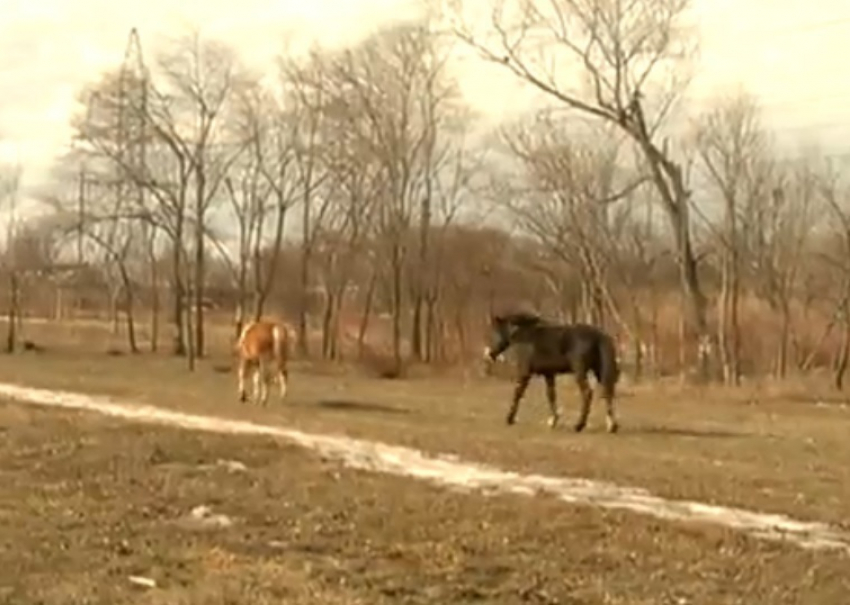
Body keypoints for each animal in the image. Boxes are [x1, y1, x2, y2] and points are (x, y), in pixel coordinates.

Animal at [484, 312, 616, 434]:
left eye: (494, 332)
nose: (490, 355)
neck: (526, 336)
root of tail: (599, 335)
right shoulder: (549, 374)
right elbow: (551, 395)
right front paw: (553, 421)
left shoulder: (525, 372)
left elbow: (518, 393)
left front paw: (510, 418)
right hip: (598, 371)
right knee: (607, 392)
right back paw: (612, 426)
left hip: (580, 371)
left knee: (587, 393)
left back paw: (579, 425)